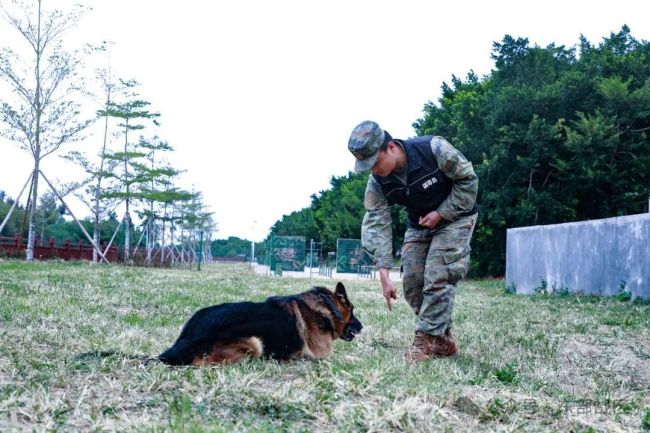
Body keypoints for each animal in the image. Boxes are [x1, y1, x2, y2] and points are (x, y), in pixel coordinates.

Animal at [79, 280, 362, 364]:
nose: (363, 326)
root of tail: (187, 339)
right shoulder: (321, 354)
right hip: (254, 343)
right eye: (354, 311)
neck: (324, 306)